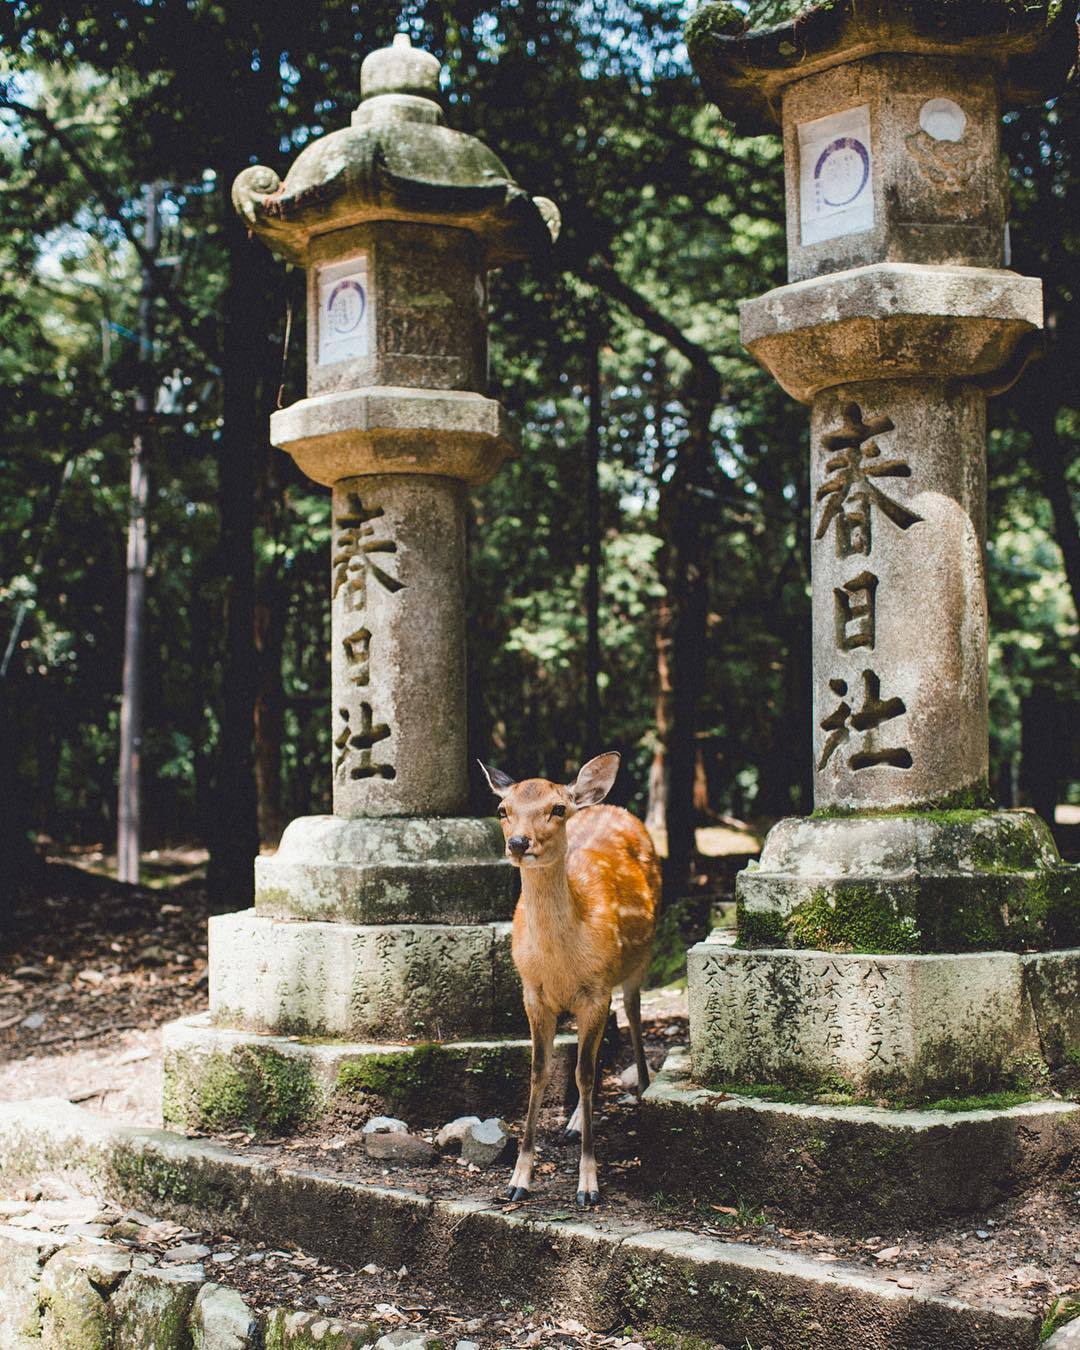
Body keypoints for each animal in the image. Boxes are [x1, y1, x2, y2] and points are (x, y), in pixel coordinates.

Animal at [480, 756, 658, 1209]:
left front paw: (589, 1184)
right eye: (502, 810)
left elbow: (585, 1073)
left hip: (638, 961)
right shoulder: (532, 993)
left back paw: (645, 1087)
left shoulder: (594, 990)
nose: (518, 843)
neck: (560, 964)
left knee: (632, 1015)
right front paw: (518, 1179)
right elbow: (541, 1071)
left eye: (557, 808)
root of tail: (610, 805)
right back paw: (576, 1119)